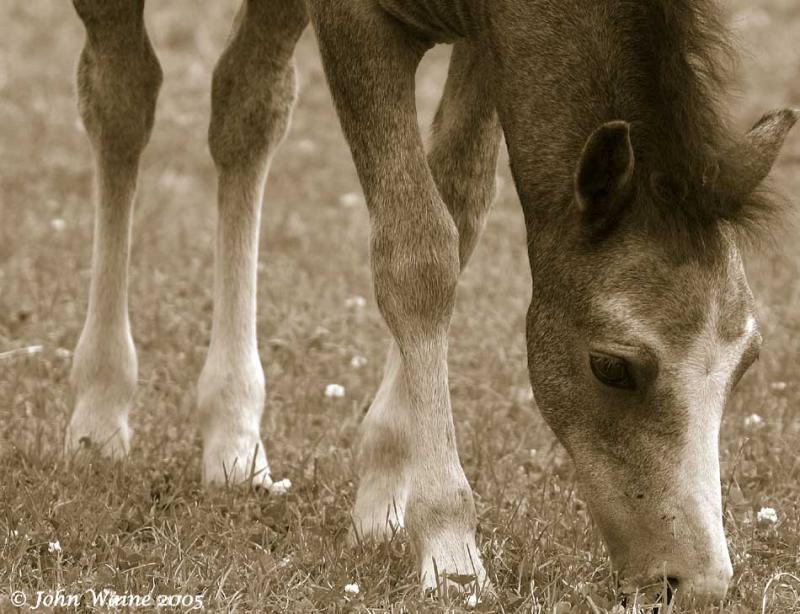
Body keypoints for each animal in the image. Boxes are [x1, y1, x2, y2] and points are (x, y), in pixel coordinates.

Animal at [67, 0, 792, 608]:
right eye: (612, 365)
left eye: (747, 362)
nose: (698, 583)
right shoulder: (356, 22)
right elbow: (417, 253)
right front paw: (451, 549)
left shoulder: (485, 41)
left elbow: (460, 204)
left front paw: (385, 494)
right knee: (122, 94)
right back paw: (99, 409)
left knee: (247, 101)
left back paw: (233, 436)